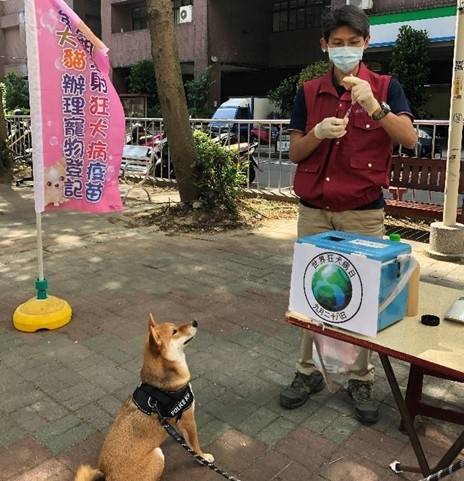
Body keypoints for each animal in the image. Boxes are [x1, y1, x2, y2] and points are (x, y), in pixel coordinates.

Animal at [74, 316, 214, 480]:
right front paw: (203, 458)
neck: (163, 387)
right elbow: (195, 446)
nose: (195, 322)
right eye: (174, 331)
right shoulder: (188, 419)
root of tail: (108, 475)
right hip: (158, 455)